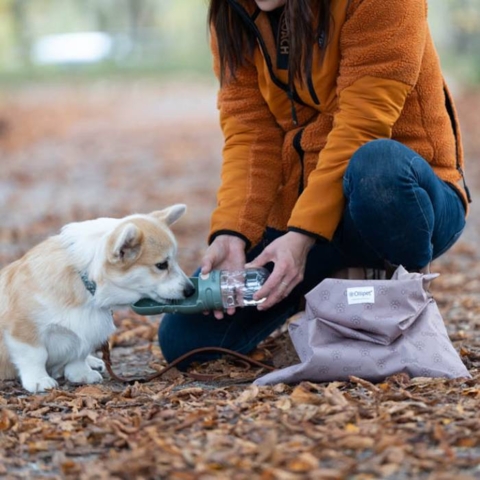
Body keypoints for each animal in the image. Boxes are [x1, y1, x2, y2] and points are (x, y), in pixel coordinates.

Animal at [0, 204, 195, 392]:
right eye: (161, 265)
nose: (191, 290)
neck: (86, 280)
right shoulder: (23, 329)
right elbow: (35, 356)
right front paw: (39, 380)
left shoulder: (89, 328)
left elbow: (78, 355)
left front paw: (81, 373)